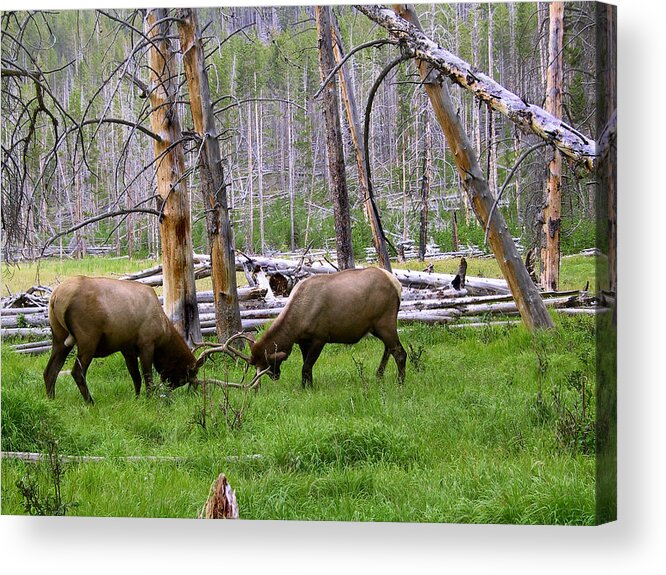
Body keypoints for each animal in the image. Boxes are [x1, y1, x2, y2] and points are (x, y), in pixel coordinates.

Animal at [43, 276, 262, 404]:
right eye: (186, 375)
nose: (191, 391)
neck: (165, 333)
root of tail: (55, 297)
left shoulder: (127, 349)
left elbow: (136, 377)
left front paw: (137, 398)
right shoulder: (146, 343)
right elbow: (147, 375)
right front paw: (149, 399)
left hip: (59, 338)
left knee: (49, 371)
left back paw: (51, 399)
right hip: (88, 338)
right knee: (77, 372)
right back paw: (90, 402)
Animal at [249, 268, 404, 388]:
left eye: (267, 364)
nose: (275, 376)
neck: (296, 326)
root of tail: (397, 284)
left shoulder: (320, 338)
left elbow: (306, 367)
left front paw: (307, 388)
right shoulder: (304, 341)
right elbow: (307, 366)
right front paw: (307, 386)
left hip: (385, 322)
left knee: (400, 352)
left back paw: (400, 383)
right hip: (376, 327)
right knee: (389, 348)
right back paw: (379, 375)